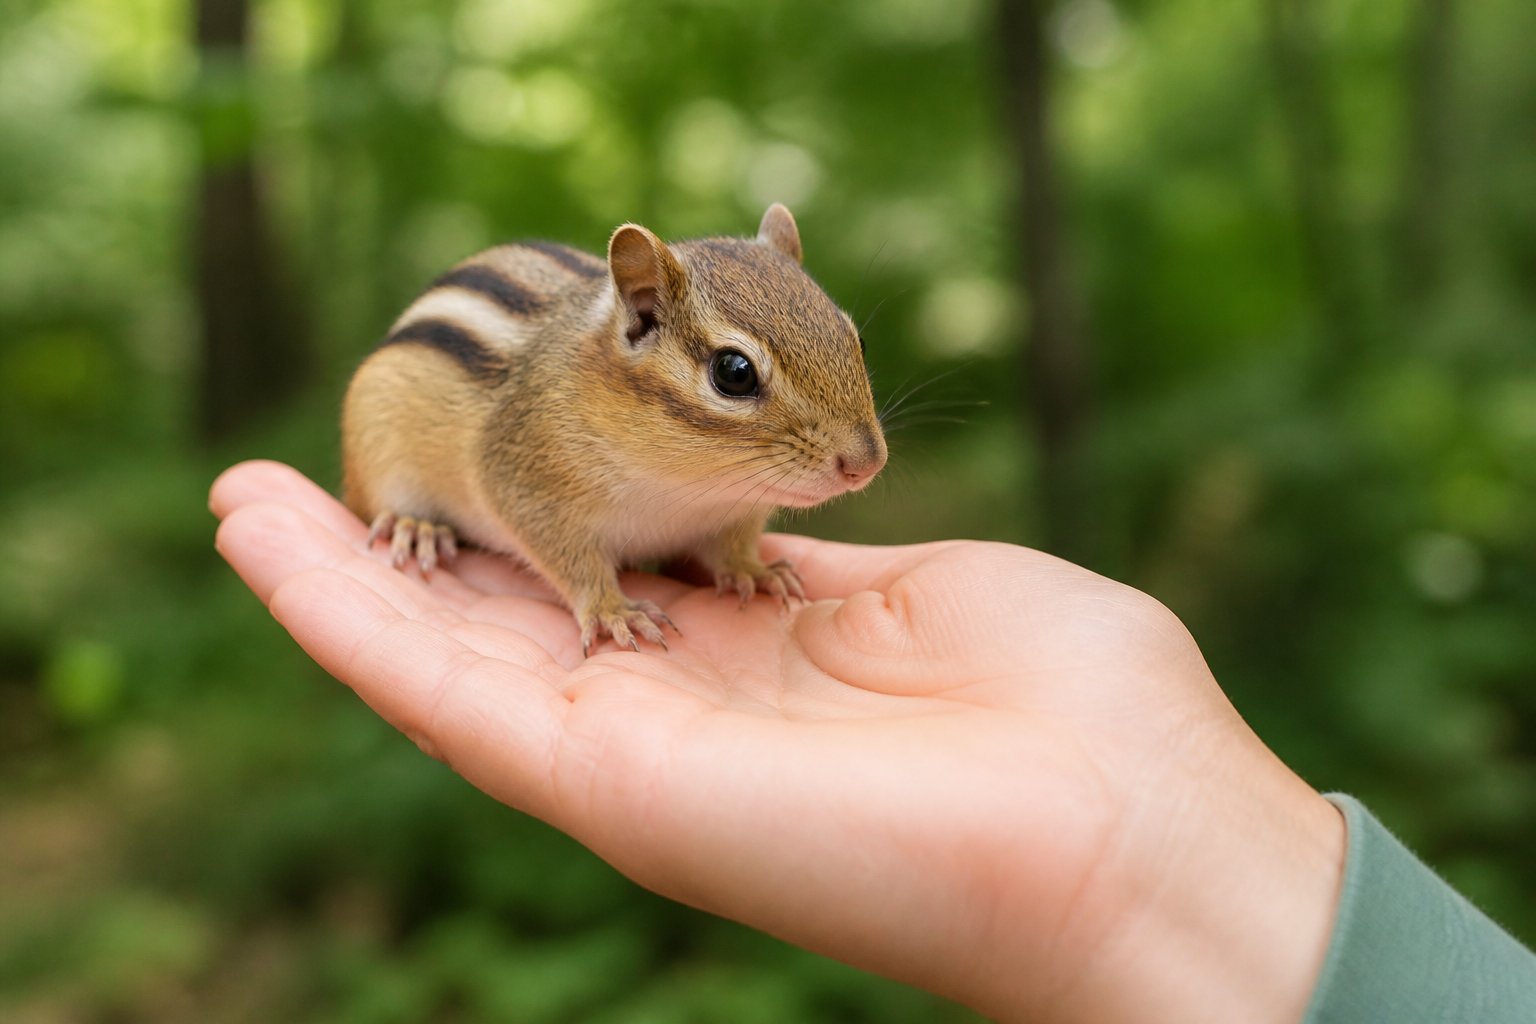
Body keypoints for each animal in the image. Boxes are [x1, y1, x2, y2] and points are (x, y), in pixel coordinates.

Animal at [341, 203, 886, 655]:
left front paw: (755, 570)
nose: (867, 463)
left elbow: (731, 547)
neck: (691, 485)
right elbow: (572, 561)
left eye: (855, 339)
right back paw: (415, 527)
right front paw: (612, 610)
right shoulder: (525, 485)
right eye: (734, 372)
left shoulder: (735, 512)